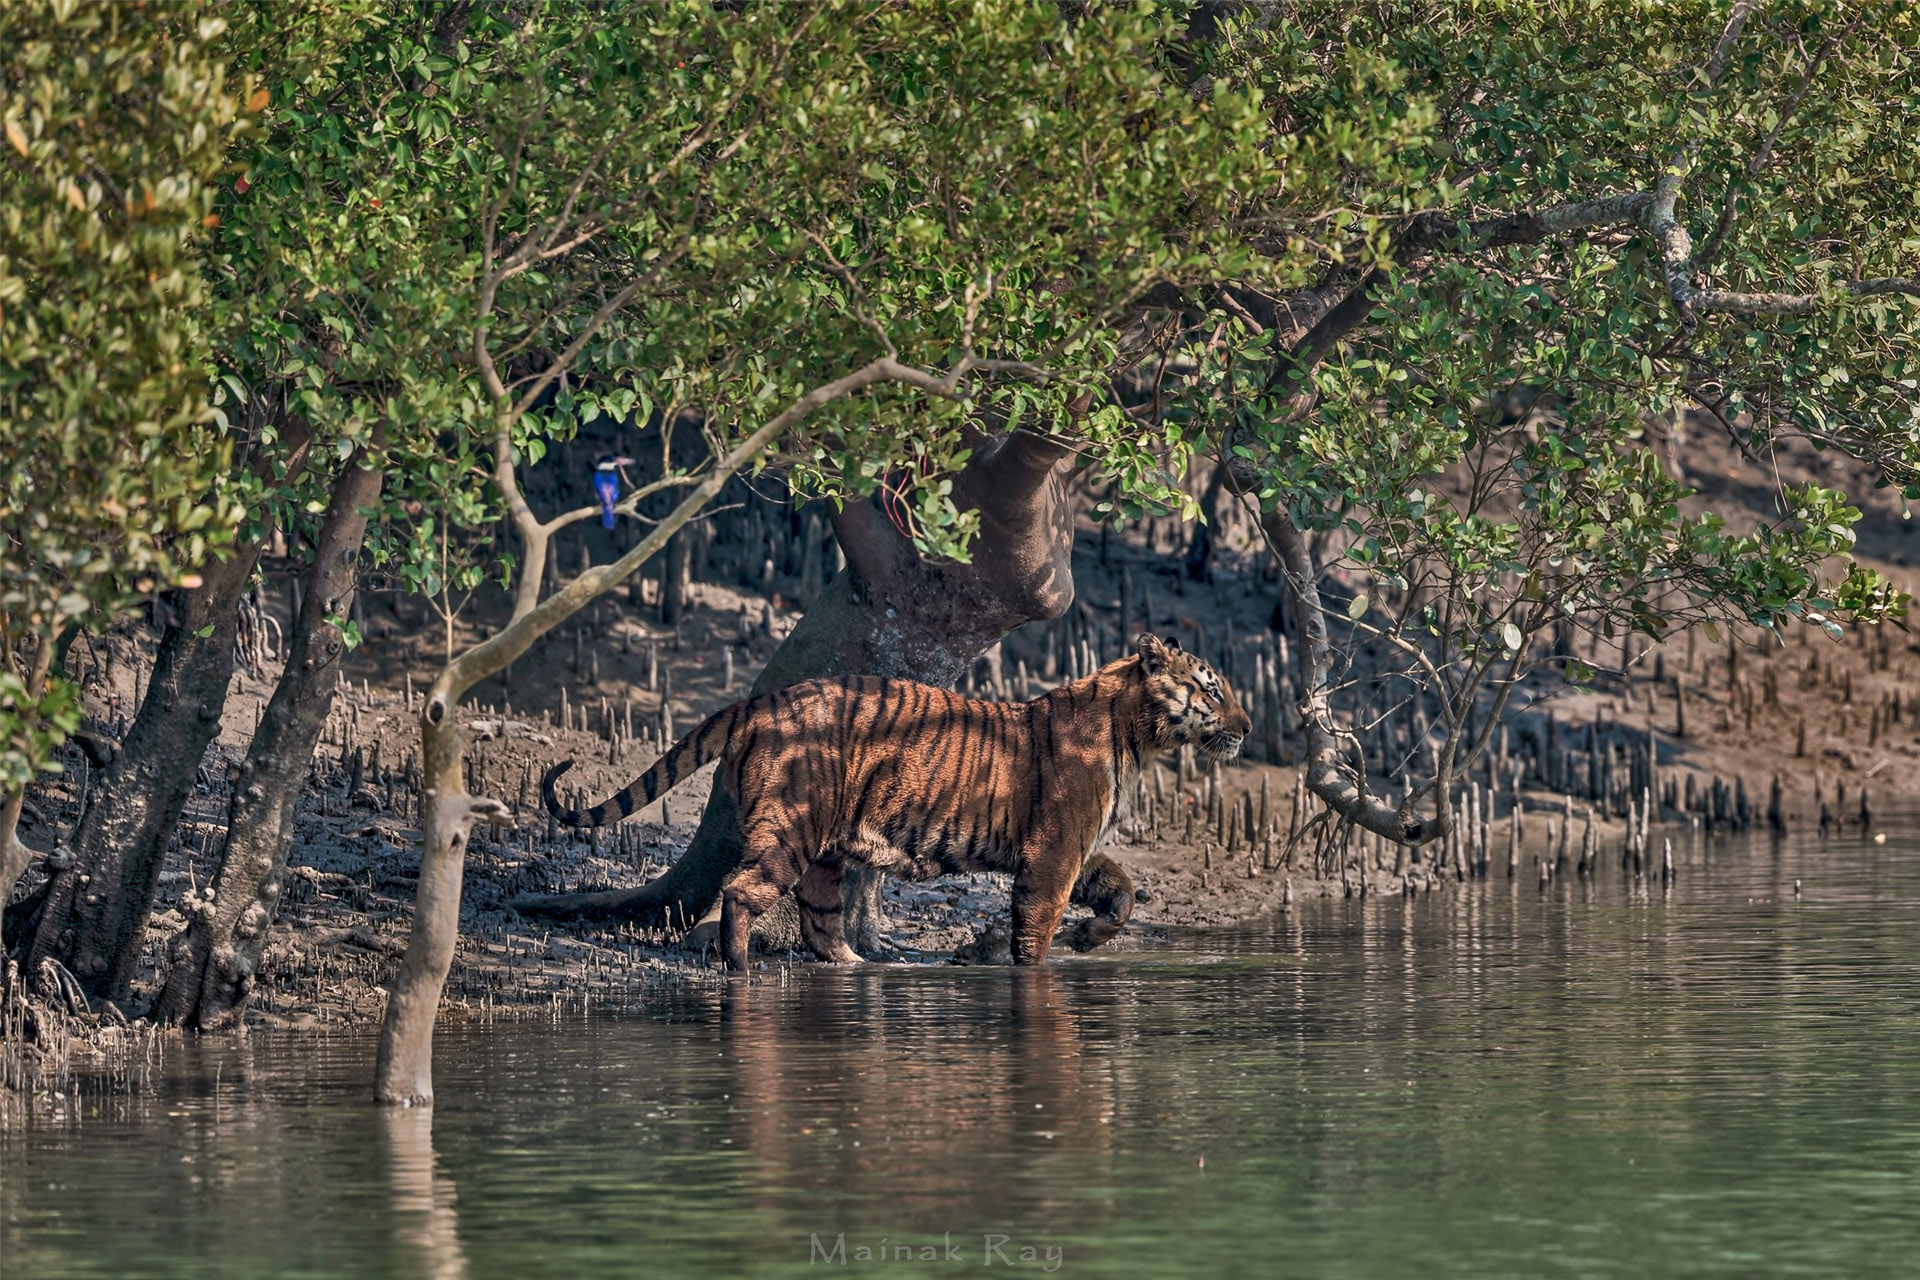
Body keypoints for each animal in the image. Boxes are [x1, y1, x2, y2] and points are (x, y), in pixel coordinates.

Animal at [545, 629, 1259, 971]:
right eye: (1212, 688)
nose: (1250, 728)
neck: (1136, 735)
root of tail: (762, 700)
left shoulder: (1072, 851)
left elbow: (1124, 892)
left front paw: (1085, 937)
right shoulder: (1053, 853)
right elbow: (1037, 928)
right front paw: (1032, 961)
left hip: (826, 853)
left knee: (821, 924)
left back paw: (867, 968)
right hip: (792, 828)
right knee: (744, 892)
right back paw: (740, 970)